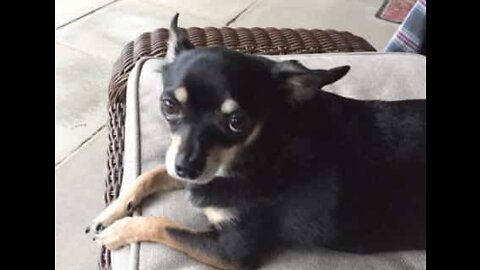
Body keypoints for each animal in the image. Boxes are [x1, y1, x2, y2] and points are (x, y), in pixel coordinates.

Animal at [86, 14, 424, 270]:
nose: (186, 168)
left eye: (237, 122)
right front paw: (110, 213)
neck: (259, 150)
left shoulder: (230, 250)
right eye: (169, 105)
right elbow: (150, 174)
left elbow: (162, 224)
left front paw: (118, 230)